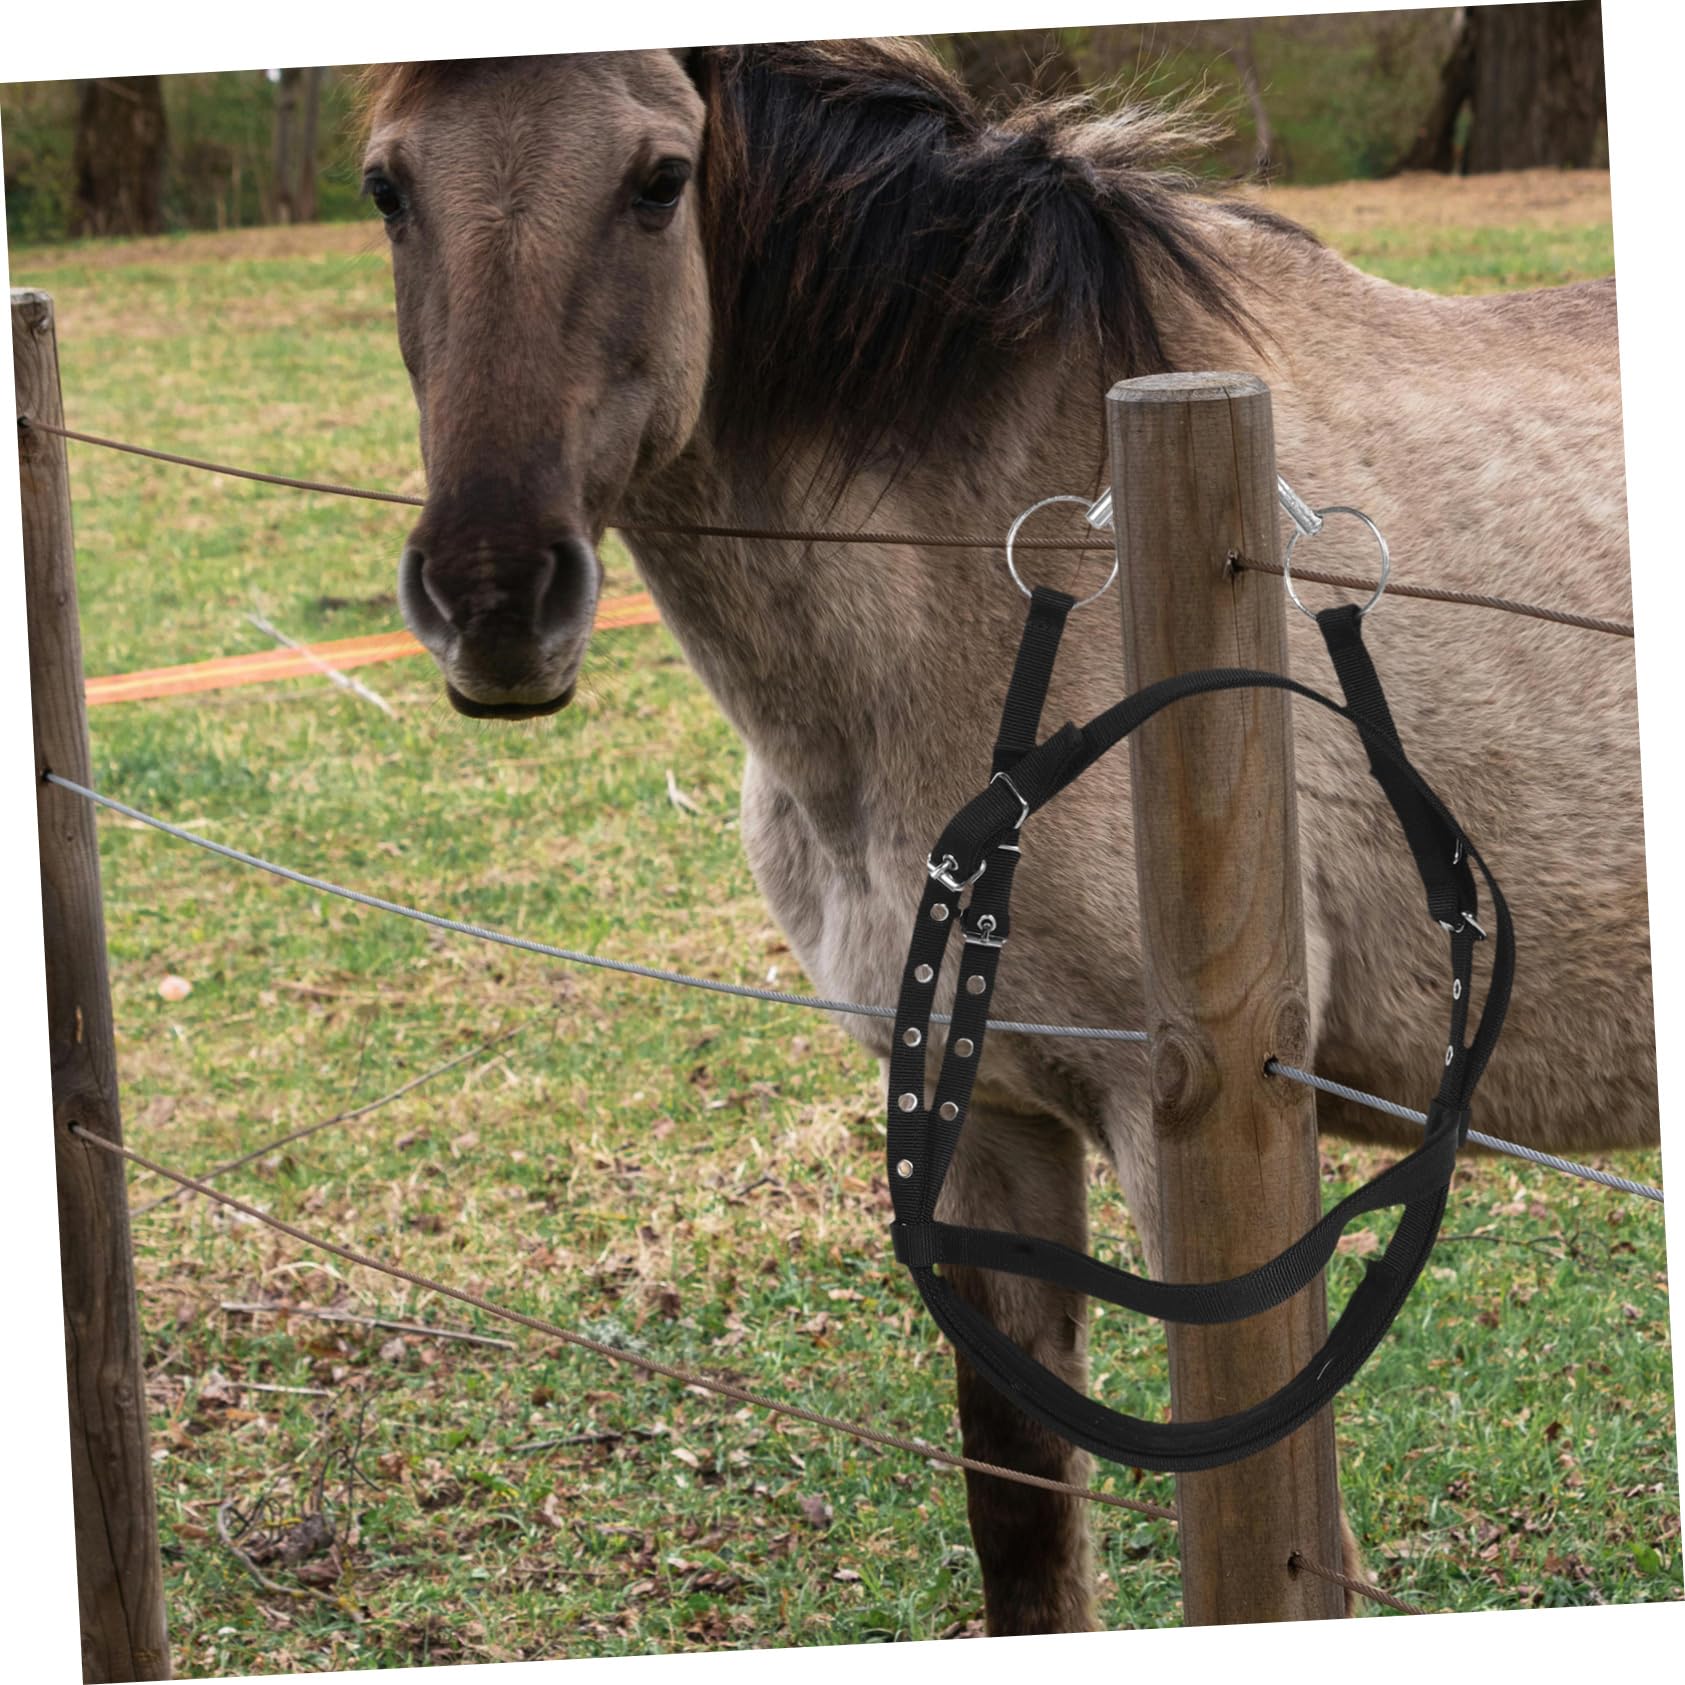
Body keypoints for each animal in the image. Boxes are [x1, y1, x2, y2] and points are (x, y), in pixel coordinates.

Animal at [358, 39, 1653, 1635]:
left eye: (659, 179)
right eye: (388, 187)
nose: (491, 600)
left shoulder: (1193, 1137)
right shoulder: (980, 1124)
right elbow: (1024, 1516)